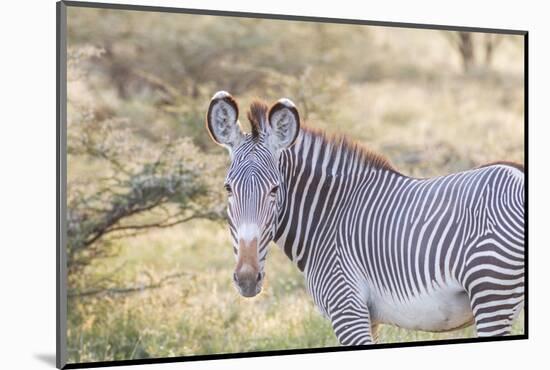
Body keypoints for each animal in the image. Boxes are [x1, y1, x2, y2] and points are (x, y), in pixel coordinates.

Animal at [206, 89, 528, 344]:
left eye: (274, 189)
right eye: (228, 188)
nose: (247, 279)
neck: (328, 217)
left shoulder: (347, 308)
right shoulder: (368, 317)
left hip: (492, 291)